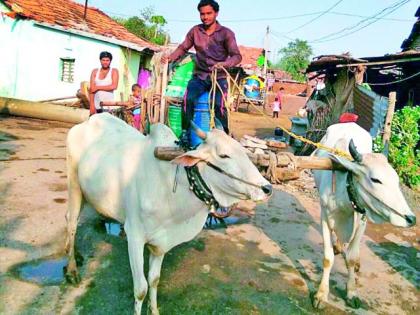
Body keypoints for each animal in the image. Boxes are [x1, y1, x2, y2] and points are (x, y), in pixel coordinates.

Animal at [64, 114, 270, 315]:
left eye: (243, 151)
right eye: (223, 155)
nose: (267, 188)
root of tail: (85, 123)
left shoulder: (162, 241)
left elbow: (154, 279)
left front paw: (154, 310)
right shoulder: (134, 236)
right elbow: (141, 289)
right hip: (74, 185)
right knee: (72, 222)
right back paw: (72, 269)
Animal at [312, 123, 416, 308]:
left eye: (396, 179)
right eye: (375, 180)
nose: (411, 218)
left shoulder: (362, 219)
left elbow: (351, 258)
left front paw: (352, 292)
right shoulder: (324, 215)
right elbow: (327, 258)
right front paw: (321, 294)